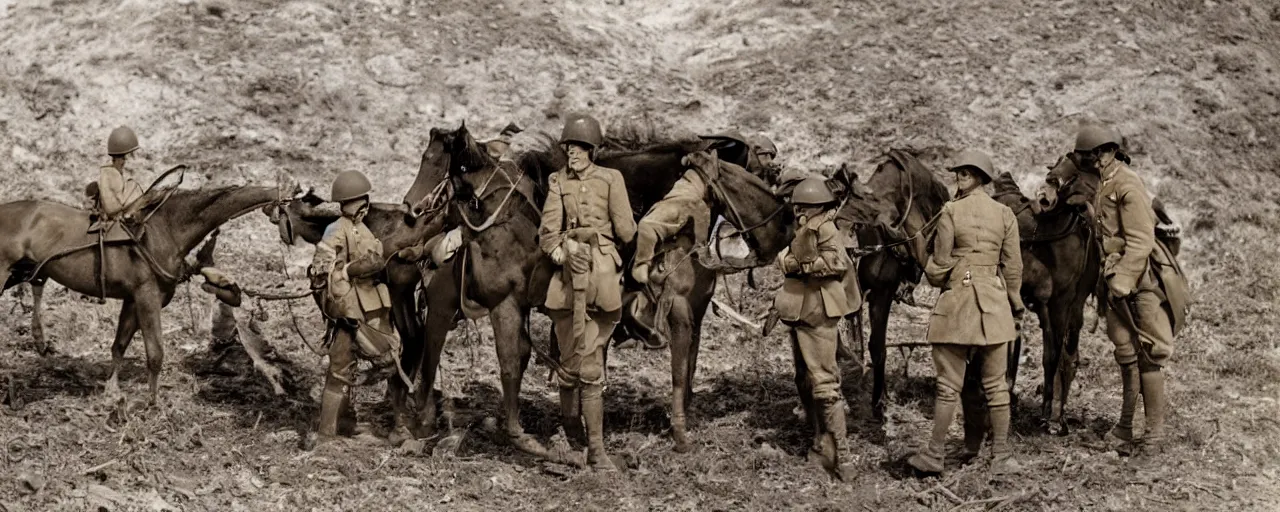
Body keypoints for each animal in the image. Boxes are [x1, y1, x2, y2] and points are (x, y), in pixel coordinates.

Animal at [0, 180, 296, 404]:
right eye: (296, 207)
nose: (290, 241)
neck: (164, 230)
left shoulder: (133, 301)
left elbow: (119, 346)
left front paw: (112, 393)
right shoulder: (147, 298)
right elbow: (155, 353)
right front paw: (152, 404)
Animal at [399, 122, 788, 455]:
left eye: (436, 163)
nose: (411, 209)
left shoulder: (693, 311)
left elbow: (686, 368)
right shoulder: (676, 310)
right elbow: (678, 371)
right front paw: (679, 435)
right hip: (452, 306)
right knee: (438, 351)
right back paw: (429, 422)